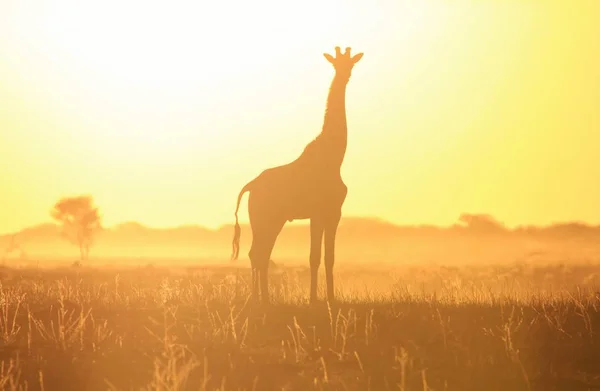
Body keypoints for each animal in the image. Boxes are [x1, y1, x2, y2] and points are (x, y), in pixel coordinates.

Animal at [230, 46, 360, 306]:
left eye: (350, 63)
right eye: (336, 64)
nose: (345, 75)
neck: (334, 157)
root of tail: (250, 185)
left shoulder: (329, 213)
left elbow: (326, 257)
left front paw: (326, 298)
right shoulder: (325, 212)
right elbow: (316, 256)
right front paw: (317, 300)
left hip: (265, 220)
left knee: (257, 252)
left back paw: (261, 298)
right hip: (268, 218)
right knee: (259, 253)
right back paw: (262, 299)